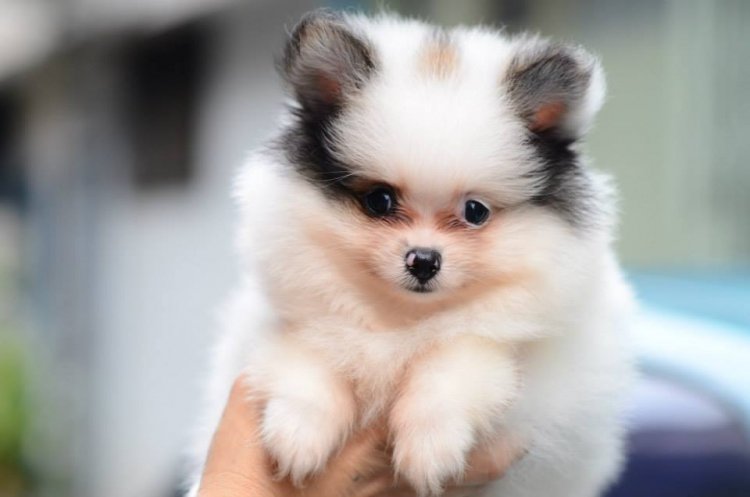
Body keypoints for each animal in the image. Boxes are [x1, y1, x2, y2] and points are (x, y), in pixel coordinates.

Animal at [187, 10, 634, 497]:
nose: (423, 259)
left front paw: (429, 449)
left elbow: (453, 361)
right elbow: (308, 358)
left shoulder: (515, 363)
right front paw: (297, 436)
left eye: (475, 211)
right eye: (379, 200)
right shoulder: (292, 320)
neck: (400, 320)